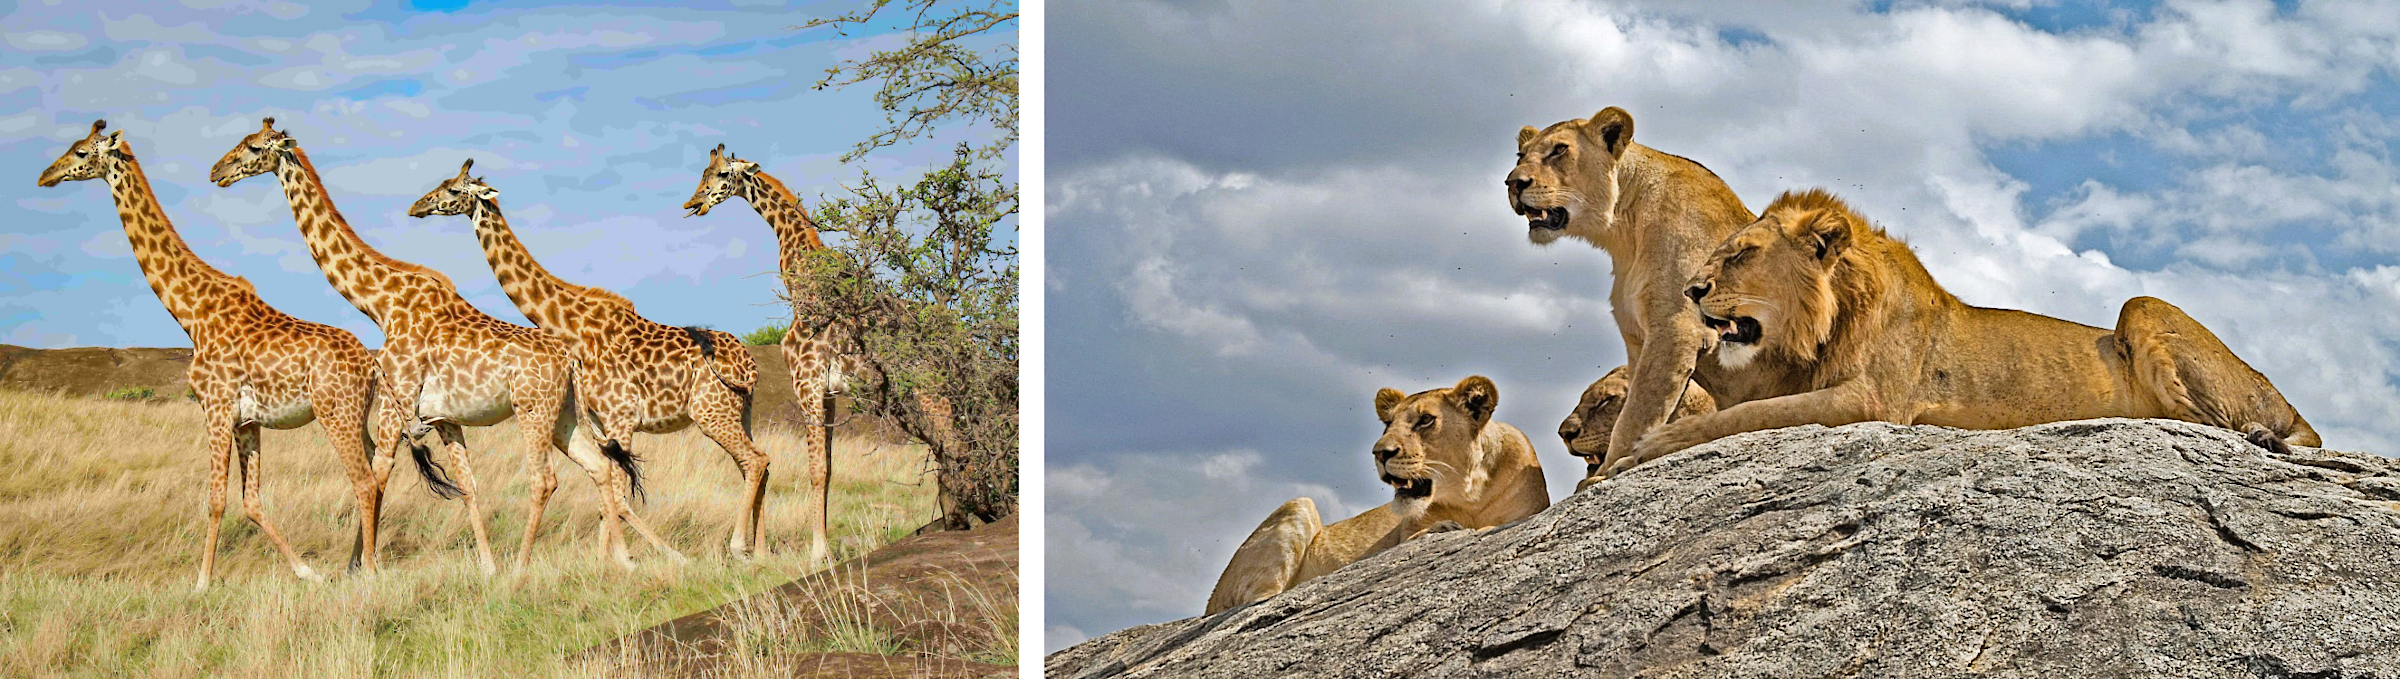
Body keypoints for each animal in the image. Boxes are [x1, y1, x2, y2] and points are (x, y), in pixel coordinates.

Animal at [1204, 376, 1548, 615]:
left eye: (1425, 420)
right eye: (1388, 423)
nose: (1380, 453)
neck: (1470, 495)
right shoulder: (1402, 536)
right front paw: (1444, 528)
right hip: (1300, 505)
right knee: (1256, 601)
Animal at [1630, 188, 2319, 461]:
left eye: (1742, 254)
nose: (1691, 291)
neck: (1830, 320)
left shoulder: (1875, 399)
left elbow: (1747, 417)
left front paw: (1649, 445)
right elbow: (1741, 404)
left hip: (2140, 305)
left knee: (2216, 423)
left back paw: (2264, 437)